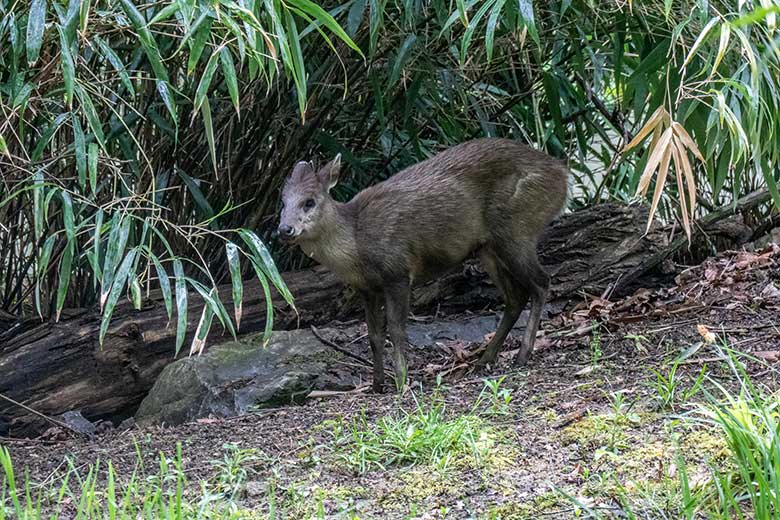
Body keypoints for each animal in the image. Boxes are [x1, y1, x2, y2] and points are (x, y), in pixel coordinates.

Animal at [278, 137, 568, 390]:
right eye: (282, 202)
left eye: (309, 202)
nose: (284, 229)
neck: (357, 244)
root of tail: (563, 175)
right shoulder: (366, 287)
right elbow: (373, 335)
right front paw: (376, 384)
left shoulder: (398, 271)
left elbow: (396, 330)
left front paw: (401, 381)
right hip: (488, 248)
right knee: (515, 296)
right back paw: (485, 359)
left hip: (517, 229)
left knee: (541, 282)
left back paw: (522, 354)